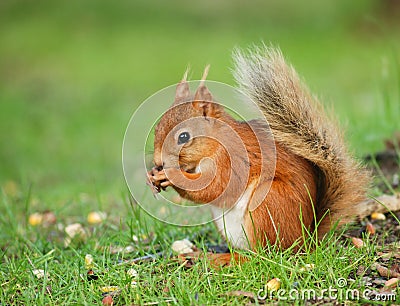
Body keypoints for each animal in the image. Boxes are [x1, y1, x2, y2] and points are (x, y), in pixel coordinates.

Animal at [146, 45, 390, 251]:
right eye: (157, 128)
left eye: (184, 137)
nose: (158, 161)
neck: (217, 140)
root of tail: (305, 239)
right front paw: (153, 176)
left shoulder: (232, 160)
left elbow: (215, 187)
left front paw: (170, 175)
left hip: (267, 204)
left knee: (265, 254)